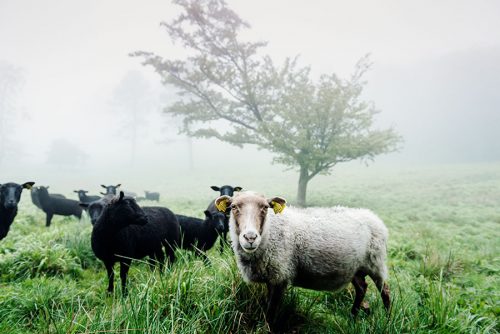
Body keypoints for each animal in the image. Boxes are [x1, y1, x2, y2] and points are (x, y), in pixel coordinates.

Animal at [215, 192, 390, 322]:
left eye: (265, 207)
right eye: (233, 207)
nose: (250, 237)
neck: (270, 232)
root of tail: (374, 217)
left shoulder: (280, 276)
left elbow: (271, 312)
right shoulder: (270, 277)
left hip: (376, 262)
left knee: (385, 291)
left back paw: (388, 319)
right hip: (356, 267)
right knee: (362, 288)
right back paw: (352, 317)